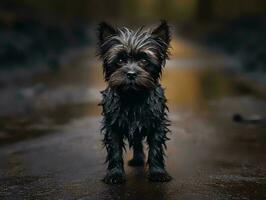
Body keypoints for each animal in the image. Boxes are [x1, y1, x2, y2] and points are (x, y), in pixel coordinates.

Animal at [98, 21, 172, 184]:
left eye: (144, 60)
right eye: (120, 60)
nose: (131, 74)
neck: (133, 97)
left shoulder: (156, 125)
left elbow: (156, 149)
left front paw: (158, 172)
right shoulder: (113, 127)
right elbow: (115, 151)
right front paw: (115, 174)